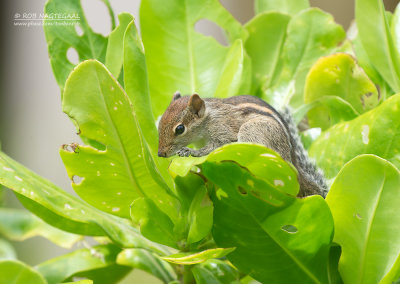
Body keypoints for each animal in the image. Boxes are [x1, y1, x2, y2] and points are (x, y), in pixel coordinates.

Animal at [157, 93, 328, 197]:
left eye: (180, 129)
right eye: (159, 122)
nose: (160, 154)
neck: (208, 118)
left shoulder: (223, 132)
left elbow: (215, 147)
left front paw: (190, 152)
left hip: (252, 131)